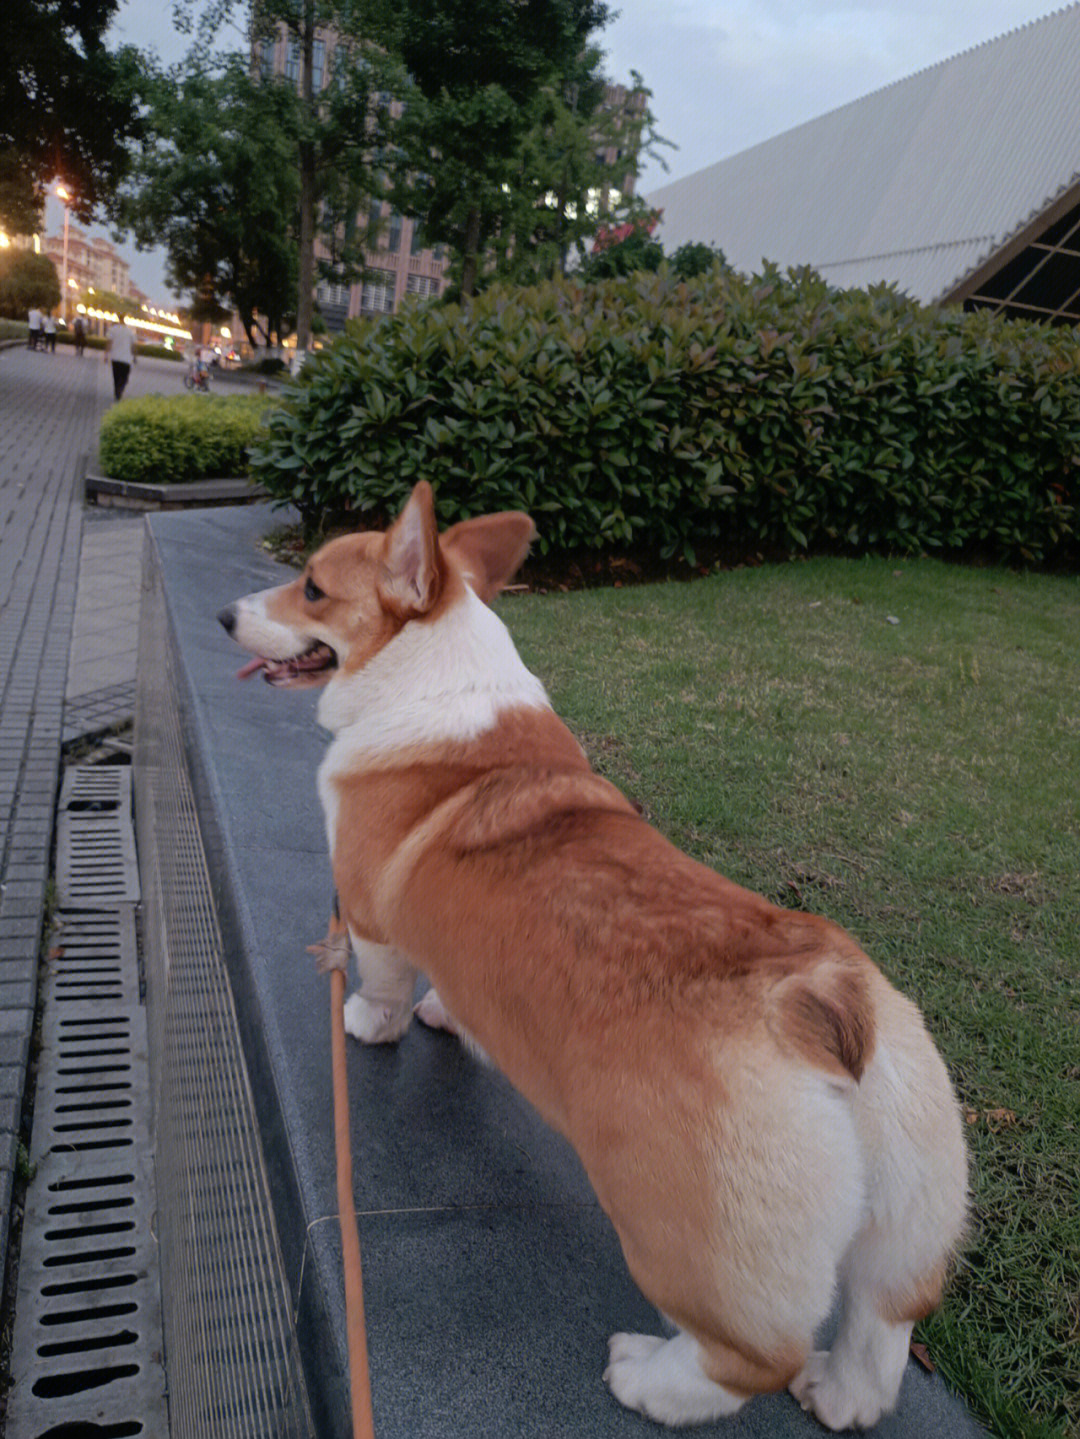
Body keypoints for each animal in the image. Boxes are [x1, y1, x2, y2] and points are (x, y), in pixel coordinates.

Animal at [215, 480, 966, 1427]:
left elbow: (385, 985)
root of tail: (822, 1002)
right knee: (883, 1314)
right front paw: (448, 1015)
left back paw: (647, 1376)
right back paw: (841, 1395)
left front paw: (370, 1023)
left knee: (749, 1359)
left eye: (311, 588)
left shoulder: (375, 919)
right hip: (910, 1207)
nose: (222, 615)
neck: (430, 671)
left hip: (675, 1236)